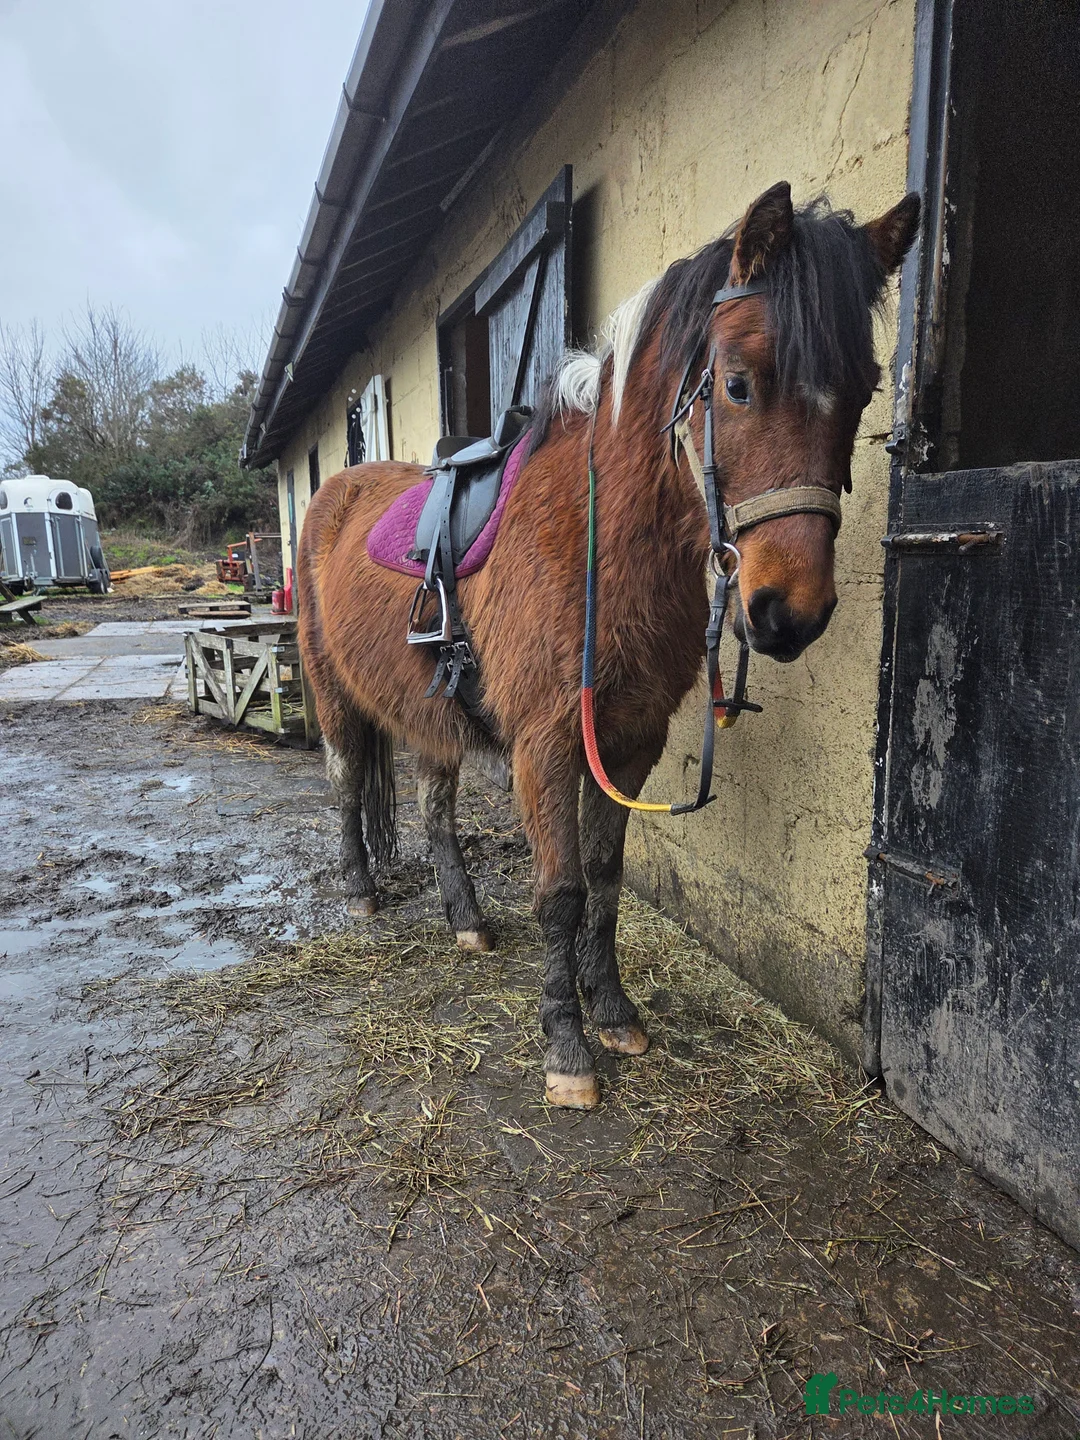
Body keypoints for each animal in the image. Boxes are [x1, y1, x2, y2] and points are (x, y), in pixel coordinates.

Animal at [297, 180, 920, 1110]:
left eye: (864, 391)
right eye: (738, 384)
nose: (788, 613)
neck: (600, 544)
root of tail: (337, 492)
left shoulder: (628, 742)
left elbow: (606, 878)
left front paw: (615, 1010)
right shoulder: (549, 745)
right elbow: (560, 890)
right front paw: (566, 1045)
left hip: (431, 718)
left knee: (436, 812)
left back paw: (467, 920)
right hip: (335, 695)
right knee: (344, 789)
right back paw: (362, 893)